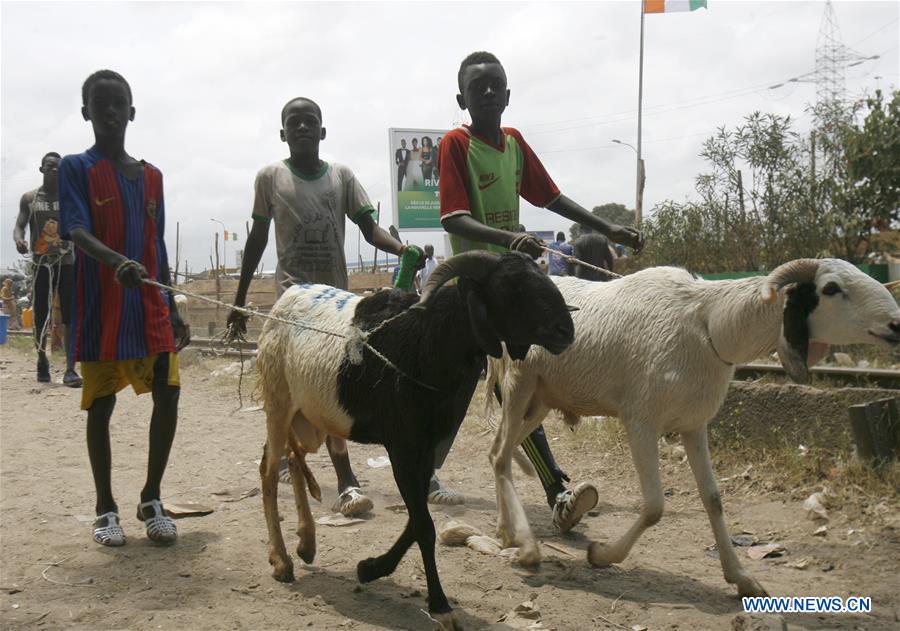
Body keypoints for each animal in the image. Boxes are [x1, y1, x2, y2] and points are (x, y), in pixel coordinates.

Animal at [256, 249, 572, 628]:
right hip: (278, 402)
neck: (429, 339)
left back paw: (306, 543)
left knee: (293, 460)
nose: (566, 329)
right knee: (269, 469)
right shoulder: (402, 445)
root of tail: (285, 298)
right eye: (511, 287)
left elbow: (418, 518)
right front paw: (440, 605)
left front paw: (370, 568)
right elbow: (423, 525)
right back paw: (280, 560)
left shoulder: (427, 446)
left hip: (307, 416)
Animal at [486, 256, 900, 596]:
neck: (709, 324)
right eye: (830, 288)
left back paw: (506, 533)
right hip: (520, 382)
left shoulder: (694, 424)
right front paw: (602, 555)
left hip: (541, 399)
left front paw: (741, 578)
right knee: (503, 457)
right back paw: (525, 546)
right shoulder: (640, 420)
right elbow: (655, 507)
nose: (896, 323)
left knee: (495, 453)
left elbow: (713, 500)